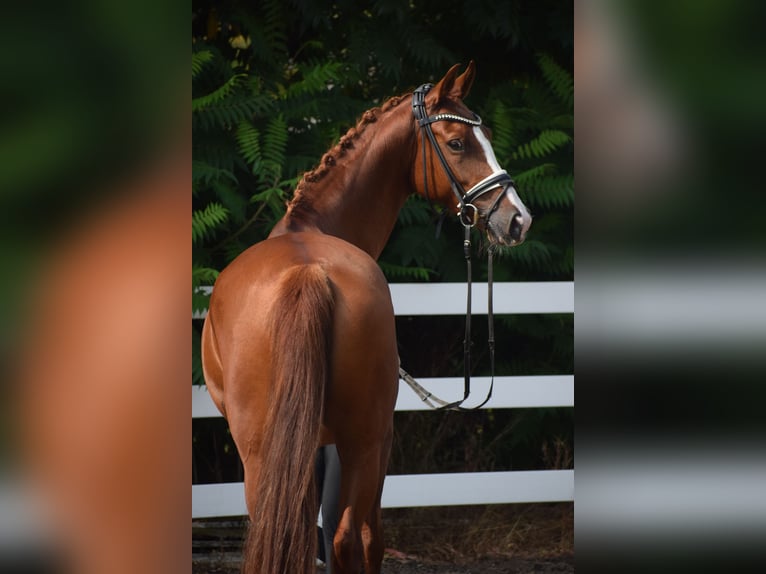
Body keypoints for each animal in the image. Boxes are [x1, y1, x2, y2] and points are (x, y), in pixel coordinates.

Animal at [201, 60, 532, 572]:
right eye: (457, 143)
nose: (517, 220)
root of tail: (308, 272)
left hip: (270, 449)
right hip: (365, 439)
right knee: (351, 538)